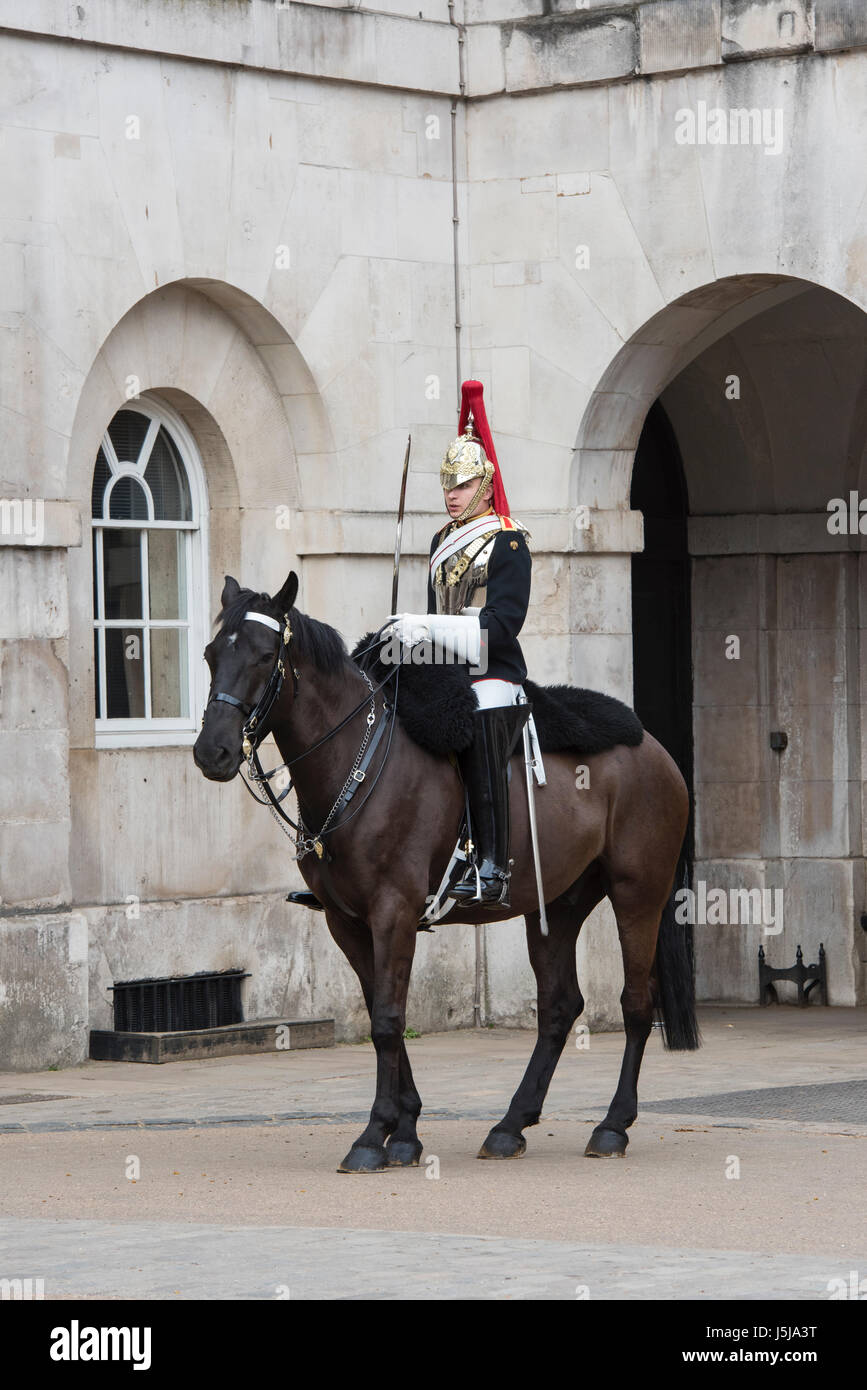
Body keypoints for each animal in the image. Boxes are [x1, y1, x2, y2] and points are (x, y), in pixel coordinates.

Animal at [193, 569, 694, 1167]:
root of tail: (654, 746)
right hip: (557, 904)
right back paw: (510, 1126)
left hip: (638, 894)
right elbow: (381, 1010)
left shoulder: (393, 911)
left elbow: (388, 1020)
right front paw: (405, 1132)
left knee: (636, 1002)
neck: (358, 761)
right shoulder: (346, 921)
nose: (213, 753)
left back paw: (612, 1126)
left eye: (266, 656)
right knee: (558, 1006)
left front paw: (374, 1136)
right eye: (210, 654)